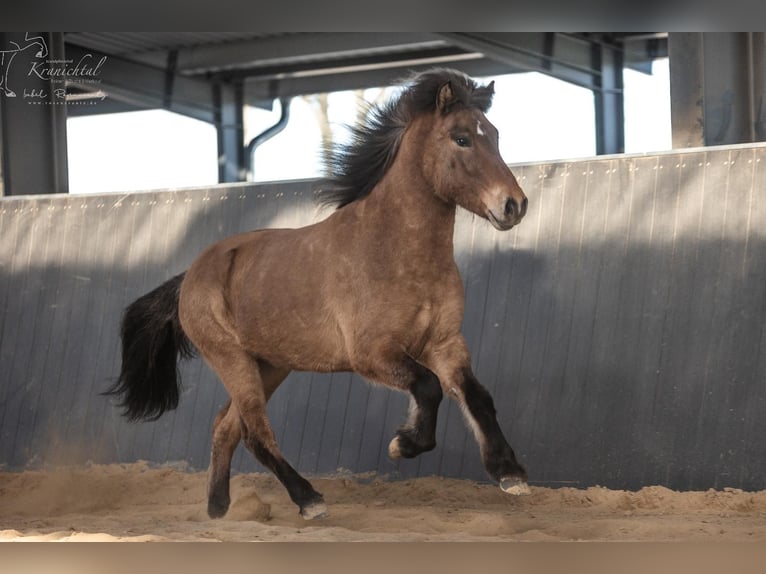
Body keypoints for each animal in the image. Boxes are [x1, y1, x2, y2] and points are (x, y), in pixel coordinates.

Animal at [107, 68, 530, 520]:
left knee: (226, 426)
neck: (395, 250)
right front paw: (404, 443)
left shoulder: (445, 343)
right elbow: (430, 386)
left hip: (270, 365)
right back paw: (308, 499)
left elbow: (476, 396)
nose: (514, 205)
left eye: (495, 135)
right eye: (462, 138)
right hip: (231, 360)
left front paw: (510, 474)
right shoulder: (373, 355)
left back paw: (219, 509)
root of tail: (190, 275)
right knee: (255, 433)